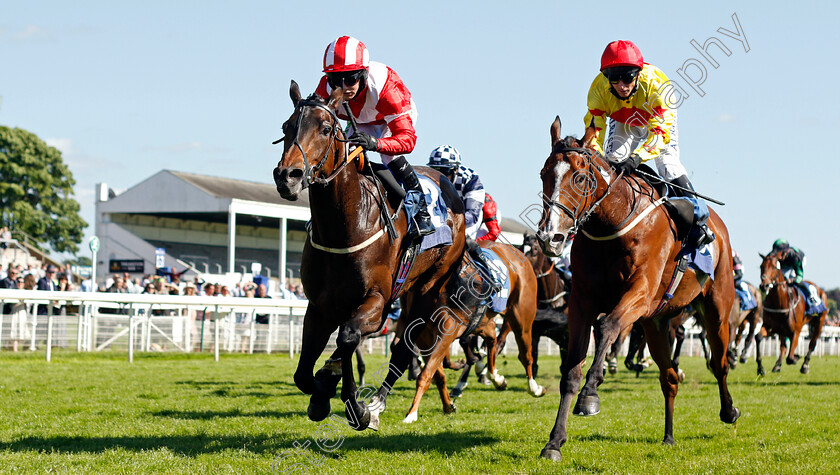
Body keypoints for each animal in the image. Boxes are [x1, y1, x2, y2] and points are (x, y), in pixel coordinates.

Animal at [274, 82, 466, 432]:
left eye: (325, 129)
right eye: (286, 127)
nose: (288, 176)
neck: (346, 225)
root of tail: (447, 184)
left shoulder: (377, 300)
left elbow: (349, 336)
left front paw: (355, 406)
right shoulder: (319, 305)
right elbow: (303, 373)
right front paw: (322, 391)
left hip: (428, 287)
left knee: (404, 346)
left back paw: (376, 404)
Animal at [400, 242, 544, 424]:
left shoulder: (446, 333)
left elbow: (426, 375)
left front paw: (411, 413)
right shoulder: (423, 338)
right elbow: (438, 375)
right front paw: (448, 405)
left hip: (521, 318)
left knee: (525, 355)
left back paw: (534, 388)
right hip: (483, 321)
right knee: (492, 339)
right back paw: (495, 377)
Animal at [536, 117, 740, 462]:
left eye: (579, 177)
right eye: (543, 174)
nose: (551, 237)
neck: (613, 224)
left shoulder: (640, 294)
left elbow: (607, 327)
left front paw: (591, 394)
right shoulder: (581, 303)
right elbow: (571, 371)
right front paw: (554, 442)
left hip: (716, 310)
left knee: (719, 363)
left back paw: (729, 411)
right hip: (656, 323)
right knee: (669, 377)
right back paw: (669, 436)